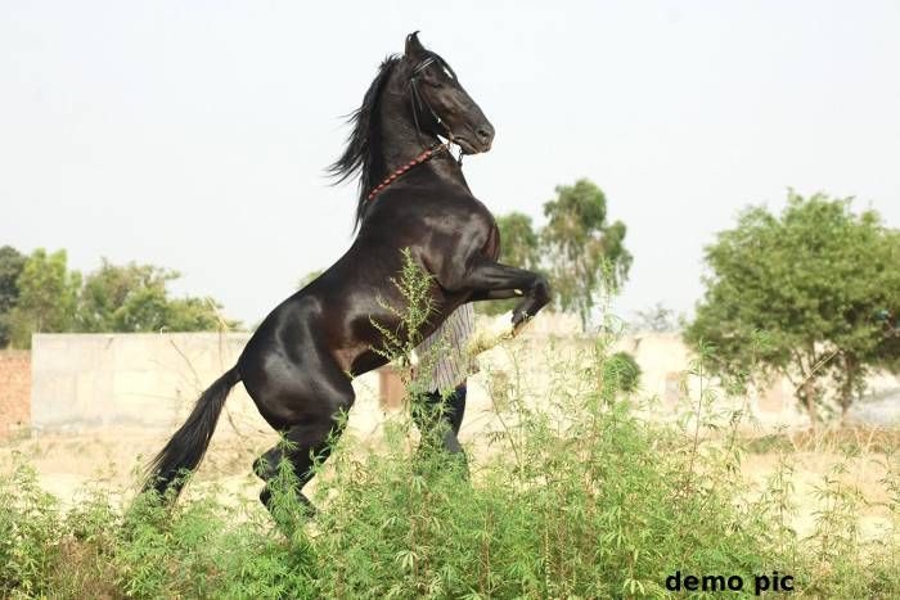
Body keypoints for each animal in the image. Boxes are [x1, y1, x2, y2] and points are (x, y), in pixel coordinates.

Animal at [144, 32, 551, 515]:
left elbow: (534, 285)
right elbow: (539, 283)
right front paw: (504, 328)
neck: (424, 188)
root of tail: (241, 367)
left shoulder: (468, 290)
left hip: (311, 426)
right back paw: (328, 528)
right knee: (269, 475)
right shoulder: (465, 274)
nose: (485, 134)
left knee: (275, 483)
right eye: (435, 81)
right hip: (329, 414)